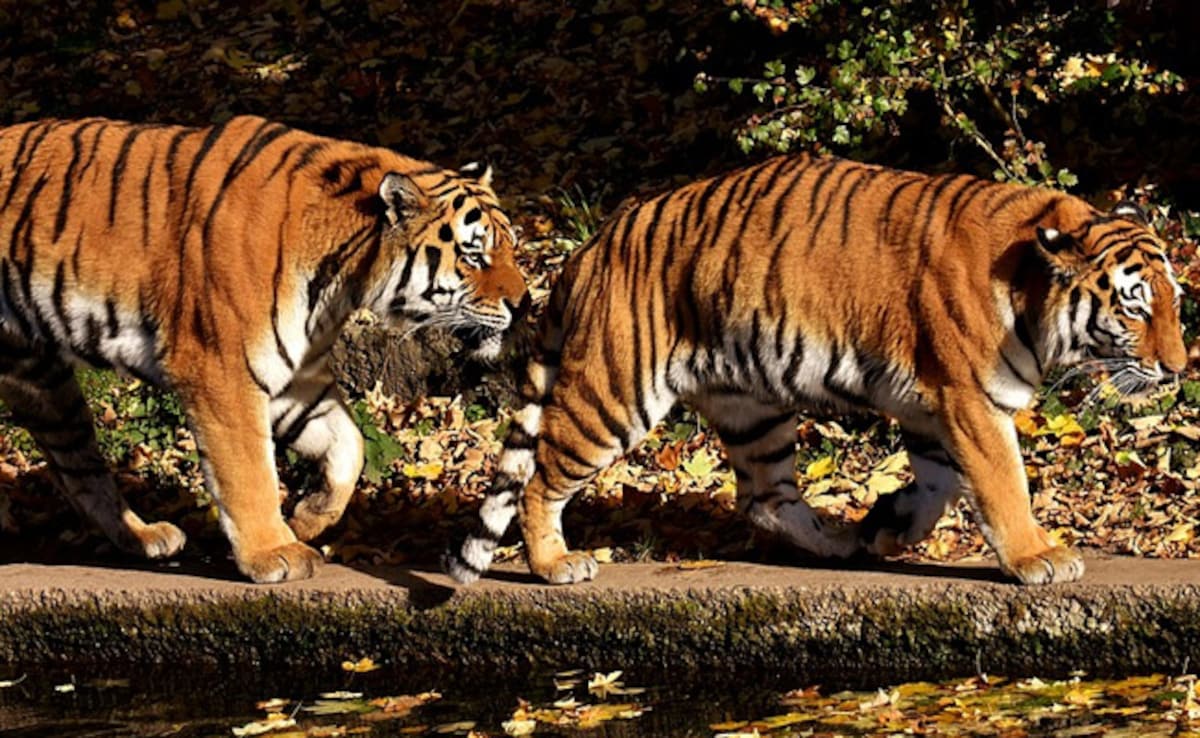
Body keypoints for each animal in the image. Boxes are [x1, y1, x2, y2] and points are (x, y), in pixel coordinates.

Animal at [0, 115, 528, 583]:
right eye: (474, 255)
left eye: (510, 248)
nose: (524, 304)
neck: (343, 278)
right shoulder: (220, 368)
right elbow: (249, 472)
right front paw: (274, 553)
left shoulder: (297, 376)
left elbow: (349, 446)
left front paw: (309, 518)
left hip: (43, 385)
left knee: (78, 469)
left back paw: (144, 538)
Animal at [445, 153, 1187, 586]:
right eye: (1135, 307)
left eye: (1176, 303)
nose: (1180, 369)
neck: (1030, 284)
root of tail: (591, 247)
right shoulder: (970, 400)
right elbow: (1003, 484)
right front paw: (1037, 557)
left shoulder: (933, 406)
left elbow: (941, 484)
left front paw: (891, 525)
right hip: (615, 394)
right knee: (541, 476)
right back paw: (555, 564)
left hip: (754, 408)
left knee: (765, 497)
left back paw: (837, 542)